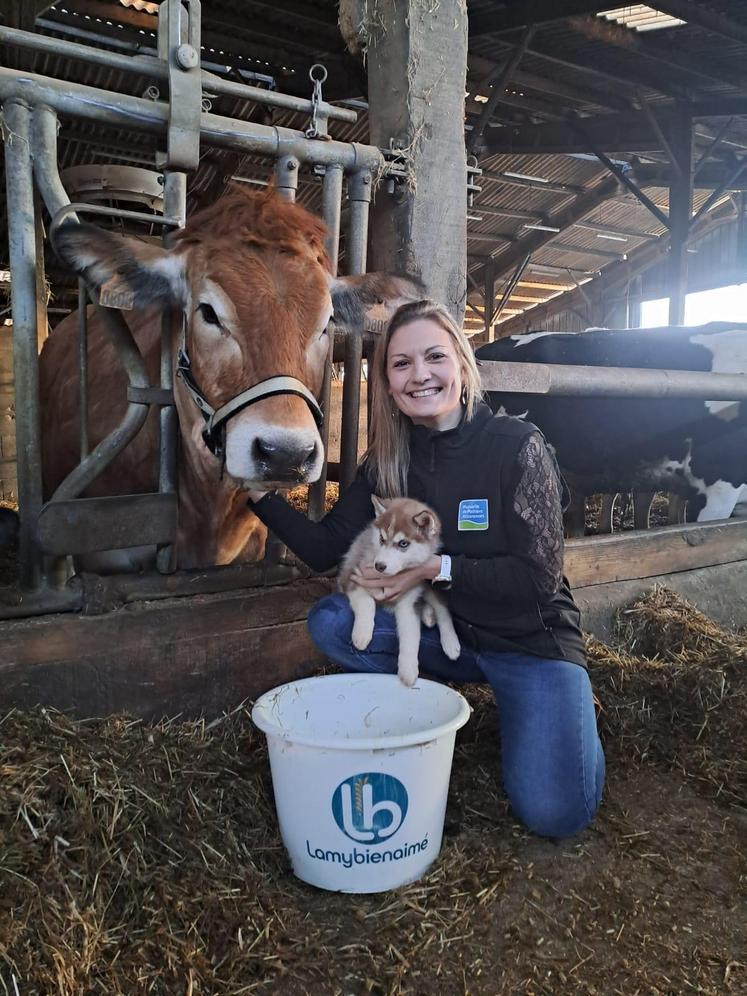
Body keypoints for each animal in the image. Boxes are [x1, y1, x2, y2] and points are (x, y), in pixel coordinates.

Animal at [338, 496, 462, 684]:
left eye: (403, 544)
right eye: (381, 539)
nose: (379, 565)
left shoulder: (409, 602)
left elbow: (411, 635)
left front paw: (408, 670)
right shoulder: (352, 577)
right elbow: (367, 603)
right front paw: (362, 634)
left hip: (427, 581)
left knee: (441, 607)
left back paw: (449, 641)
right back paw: (428, 615)